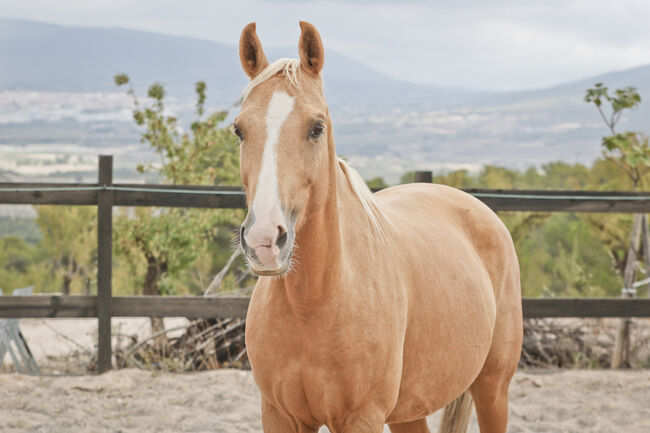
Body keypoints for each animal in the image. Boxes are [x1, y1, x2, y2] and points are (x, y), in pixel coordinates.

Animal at [233, 21, 520, 432]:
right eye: (239, 130)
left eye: (317, 128)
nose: (264, 241)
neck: (313, 302)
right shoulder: (279, 415)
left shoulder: (362, 417)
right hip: (409, 411)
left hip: (493, 388)